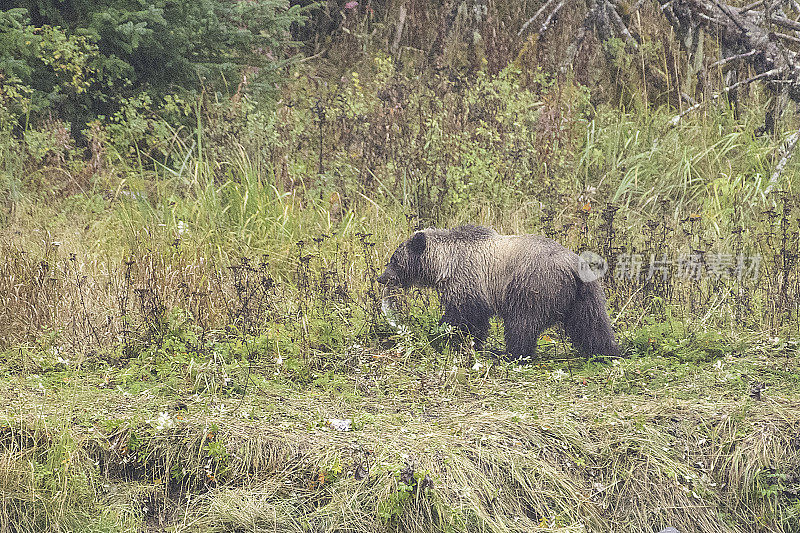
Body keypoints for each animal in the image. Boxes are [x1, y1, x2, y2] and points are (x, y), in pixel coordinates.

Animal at [376, 223, 620, 358]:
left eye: (394, 260)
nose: (381, 278)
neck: (443, 264)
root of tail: (573, 266)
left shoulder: (467, 281)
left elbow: (463, 316)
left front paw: (443, 337)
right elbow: (474, 320)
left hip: (531, 285)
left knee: (522, 323)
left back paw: (507, 353)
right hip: (585, 294)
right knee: (592, 324)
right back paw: (607, 351)